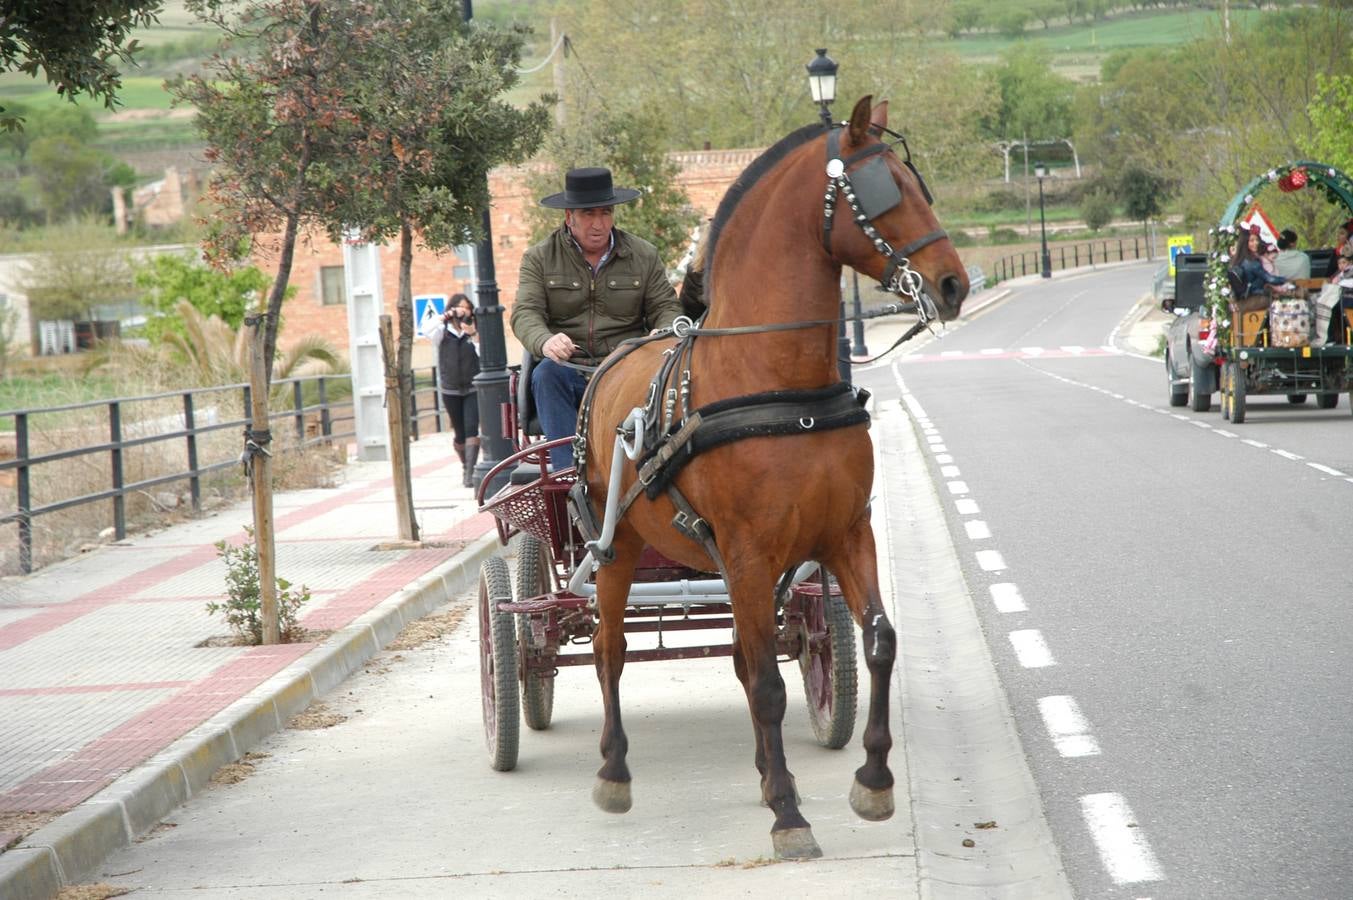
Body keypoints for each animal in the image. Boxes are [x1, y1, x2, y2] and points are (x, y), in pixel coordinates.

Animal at [581, 94, 963, 860]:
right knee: (611, 651)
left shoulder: (844, 533)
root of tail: (612, 359)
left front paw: (872, 781)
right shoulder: (750, 551)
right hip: (621, 548)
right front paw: (789, 812)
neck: (778, 380)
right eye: (886, 191)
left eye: (919, 188)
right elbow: (765, 685)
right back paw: (614, 770)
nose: (953, 284)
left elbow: (878, 643)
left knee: (736, 650)